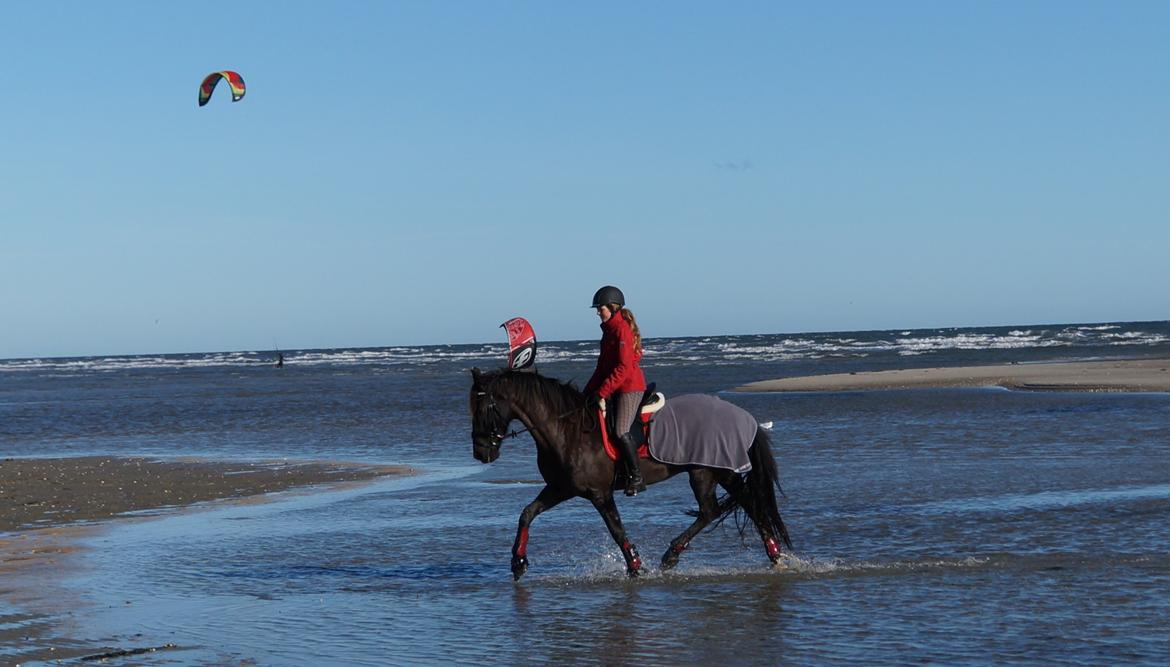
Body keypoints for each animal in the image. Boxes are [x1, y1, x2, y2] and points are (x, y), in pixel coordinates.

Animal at [467, 365, 795, 578]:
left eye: (483, 408)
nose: (481, 453)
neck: (566, 430)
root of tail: (742, 416)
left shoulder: (599, 494)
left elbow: (616, 529)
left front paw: (635, 566)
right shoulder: (561, 488)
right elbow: (527, 513)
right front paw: (518, 562)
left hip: (708, 472)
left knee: (723, 508)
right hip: (716, 473)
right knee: (733, 507)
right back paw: (769, 554)